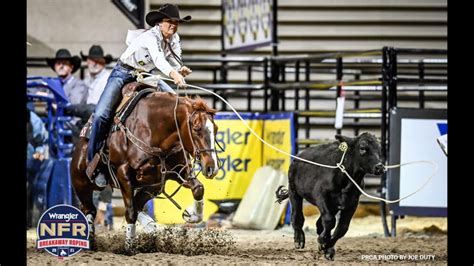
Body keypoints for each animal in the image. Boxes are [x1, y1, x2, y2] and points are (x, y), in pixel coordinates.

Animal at [69, 90, 219, 245]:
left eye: (216, 129)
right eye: (196, 129)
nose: (211, 167)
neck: (151, 131)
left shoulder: (179, 171)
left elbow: (198, 188)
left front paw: (191, 215)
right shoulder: (123, 174)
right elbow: (130, 213)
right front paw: (130, 246)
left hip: (153, 187)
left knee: (136, 205)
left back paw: (150, 225)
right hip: (81, 183)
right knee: (89, 209)